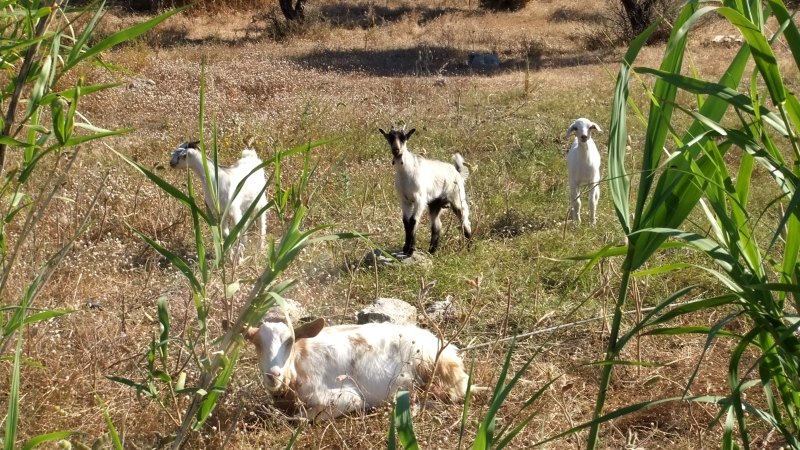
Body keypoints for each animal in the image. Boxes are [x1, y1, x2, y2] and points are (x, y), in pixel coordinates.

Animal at [378, 125, 472, 255]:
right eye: (390, 138)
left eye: (404, 138)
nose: (396, 150)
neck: (406, 172)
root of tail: (458, 172)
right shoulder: (405, 200)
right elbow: (406, 221)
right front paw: (406, 248)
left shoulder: (420, 199)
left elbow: (413, 220)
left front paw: (411, 249)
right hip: (435, 204)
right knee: (437, 226)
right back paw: (432, 250)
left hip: (458, 199)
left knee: (465, 221)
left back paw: (470, 247)